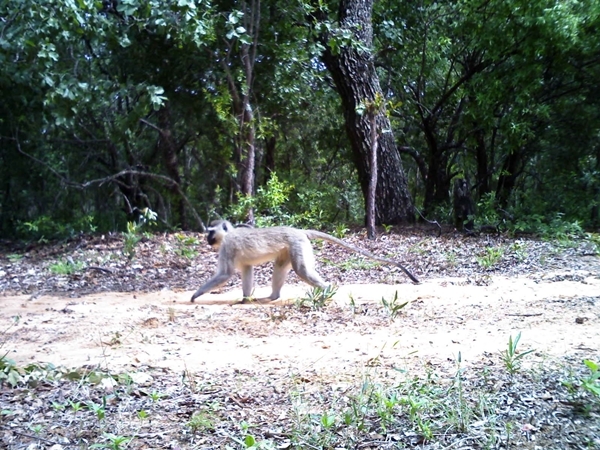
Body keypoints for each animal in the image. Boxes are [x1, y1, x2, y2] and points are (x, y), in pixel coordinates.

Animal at [191, 221, 418, 302]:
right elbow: (247, 270)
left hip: (298, 245)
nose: (206, 238)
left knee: (302, 270)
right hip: (290, 249)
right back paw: (273, 296)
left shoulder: (227, 247)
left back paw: (327, 291)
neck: (228, 234)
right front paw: (246, 298)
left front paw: (196, 294)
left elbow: (225, 274)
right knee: (280, 266)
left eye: (210, 231)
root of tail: (299, 230)